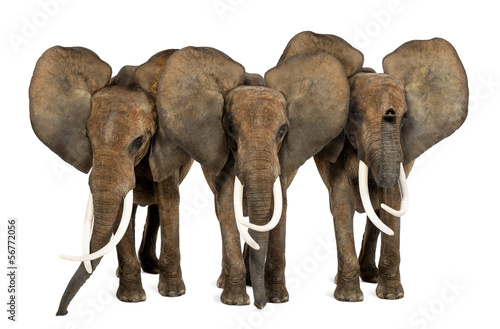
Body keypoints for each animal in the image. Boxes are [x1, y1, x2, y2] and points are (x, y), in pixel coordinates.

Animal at [28, 44, 193, 314]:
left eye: (138, 142)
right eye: (89, 140)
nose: (61, 312)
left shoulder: (166, 147)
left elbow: (169, 200)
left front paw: (173, 294)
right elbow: (119, 214)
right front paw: (131, 298)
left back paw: (152, 268)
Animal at [150, 46, 350, 308]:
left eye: (283, 131)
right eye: (231, 129)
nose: (259, 305)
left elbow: (280, 209)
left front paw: (277, 298)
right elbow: (226, 207)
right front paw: (236, 300)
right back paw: (227, 282)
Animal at [278, 32, 468, 302]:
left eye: (405, 117)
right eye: (354, 115)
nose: (389, 113)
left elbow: (391, 203)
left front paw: (390, 296)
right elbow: (342, 204)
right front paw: (349, 298)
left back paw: (370, 276)